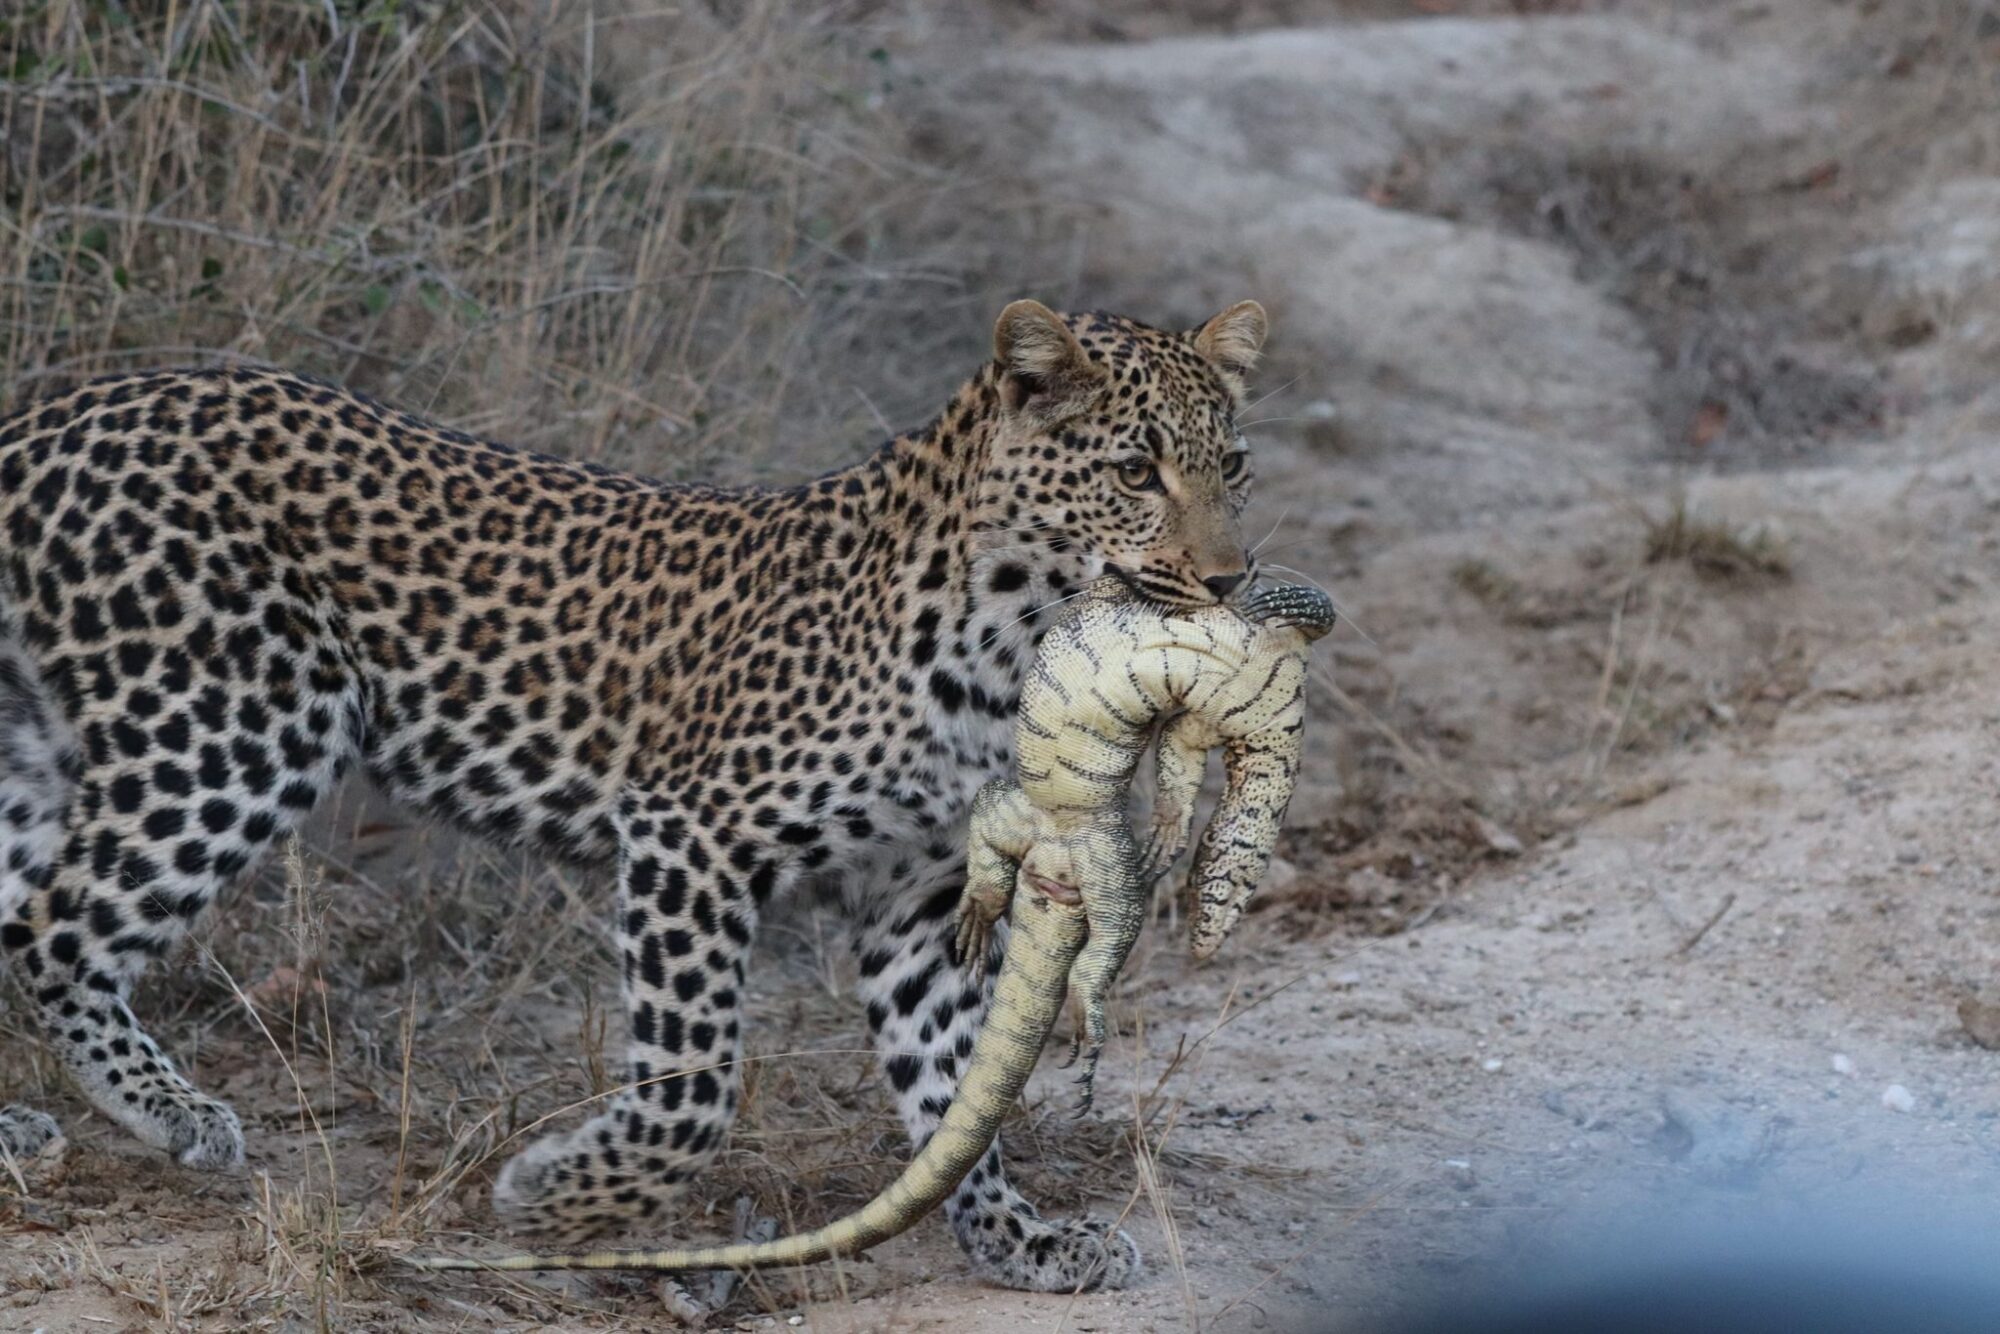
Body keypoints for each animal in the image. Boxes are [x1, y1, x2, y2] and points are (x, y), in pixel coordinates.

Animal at [0, 296, 1268, 1293]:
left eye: (1233, 467)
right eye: (1133, 471)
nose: (1228, 579)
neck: (1011, 638)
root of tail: (54, 416)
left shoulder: (913, 900)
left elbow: (958, 1093)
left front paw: (1018, 1240)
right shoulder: (690, 831)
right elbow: (695, 1080)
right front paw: (559, 1197)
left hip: (47, 743)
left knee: (14, 909)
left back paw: (17, 1127)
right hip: (232, 725)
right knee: (54, 931)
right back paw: (169, 1111)